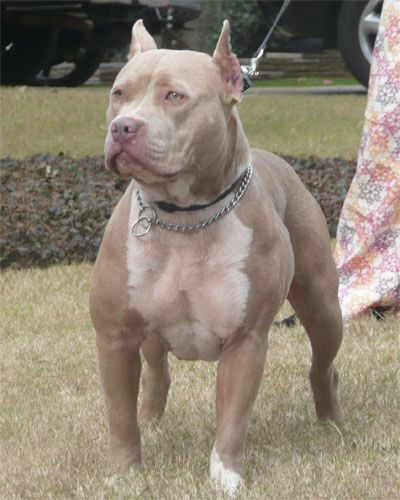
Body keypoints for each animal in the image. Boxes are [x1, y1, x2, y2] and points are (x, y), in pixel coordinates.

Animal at [90, 19, 344, 496]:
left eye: (174, 96)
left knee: (323, 366)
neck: (184, 221)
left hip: (323, 309)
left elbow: (232, 419)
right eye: (118, 93)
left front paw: (226, 476)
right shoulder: (114, 335)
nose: (123, 127)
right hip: (148, 332)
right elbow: (118, 415)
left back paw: (331, 422)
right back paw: (152, 420)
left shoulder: (246, 339)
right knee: (156, 373)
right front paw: (123, 474)